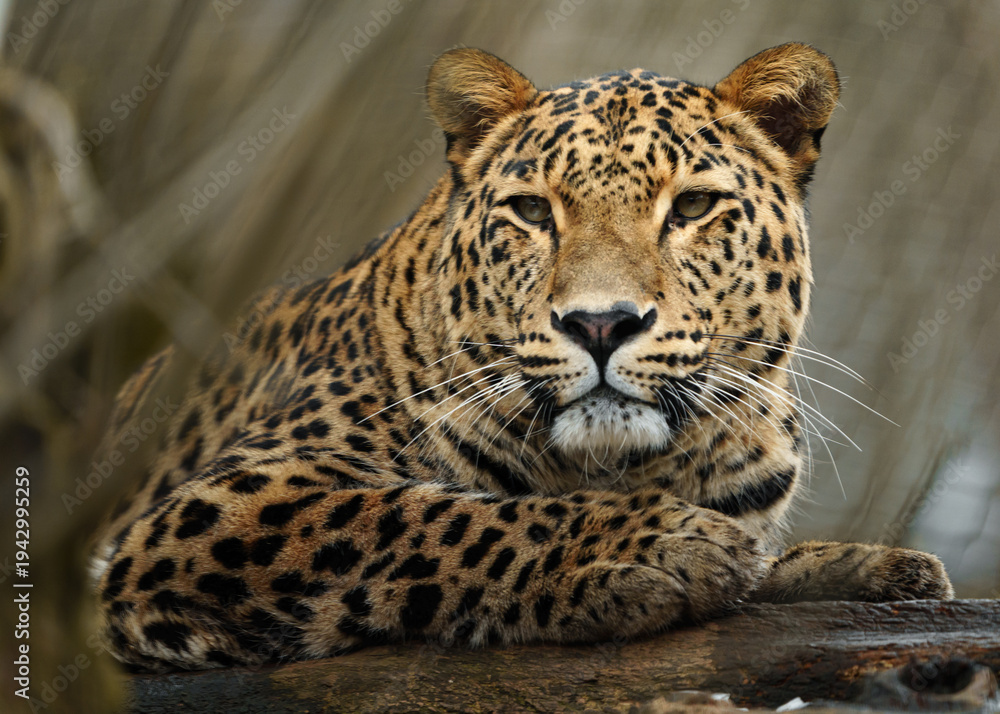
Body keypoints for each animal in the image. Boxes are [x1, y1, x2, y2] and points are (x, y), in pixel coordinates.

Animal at [91, 43, 953, 672]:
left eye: (693, 206)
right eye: (534, 211)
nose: (601, 324)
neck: (621, 469)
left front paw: (868, 570)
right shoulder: (219, 505)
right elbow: (429, 514)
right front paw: (660, 546)